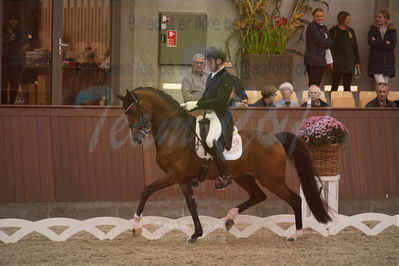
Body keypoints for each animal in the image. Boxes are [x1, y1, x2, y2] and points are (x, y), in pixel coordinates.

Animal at [115, 87, 332, 243]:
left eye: (133, 111)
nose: (137, 139)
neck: (175, 131)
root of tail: (274, 138)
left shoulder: (173, 174)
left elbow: (146, 190)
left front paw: (135, 226)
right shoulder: (182, 179)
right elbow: (192, 205)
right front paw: (196, 234)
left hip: (271, 179)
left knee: (295, 199)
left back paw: (296, 235)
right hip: (243, 176)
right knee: (258, 195)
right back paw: (229, 218)